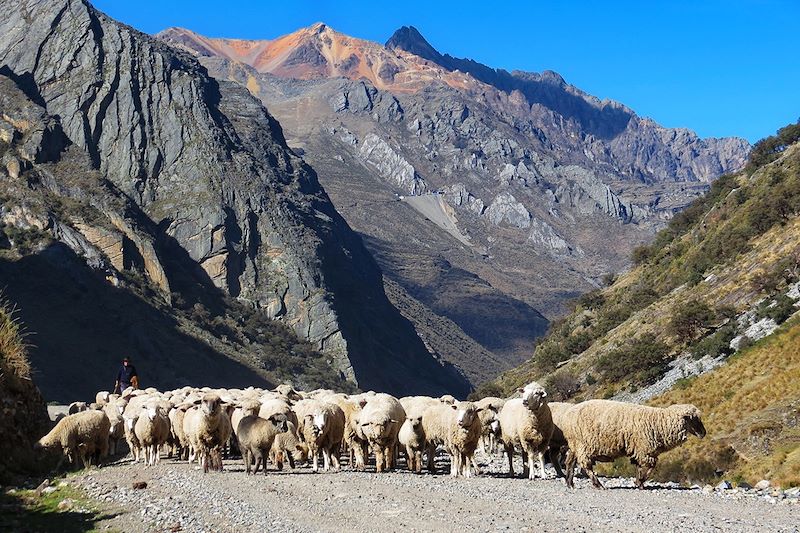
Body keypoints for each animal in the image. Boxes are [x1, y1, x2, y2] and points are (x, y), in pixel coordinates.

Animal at [564, 400, 708, 490]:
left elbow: (640, 466)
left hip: (575, 445)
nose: (704, 433)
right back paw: (598, 485)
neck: (659, 423)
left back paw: (570, 483)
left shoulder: (640, 450)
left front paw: (639, 483)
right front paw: (641, 481)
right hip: (583, 445)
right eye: (693, 418)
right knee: (586, 466)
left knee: (570, 462)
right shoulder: (644, 449)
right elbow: (650, 466)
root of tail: (568, 415)